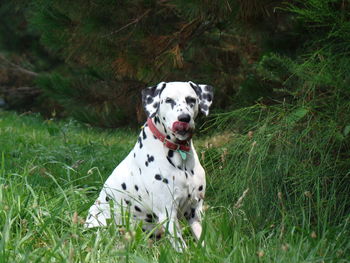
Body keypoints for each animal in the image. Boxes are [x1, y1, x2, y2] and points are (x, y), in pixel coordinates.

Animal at [85, 81, 213, 251]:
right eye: (168, 100)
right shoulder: (167, 213)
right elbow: (181, 247)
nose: (184, 118)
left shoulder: (195, 211)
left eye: (191, 99)